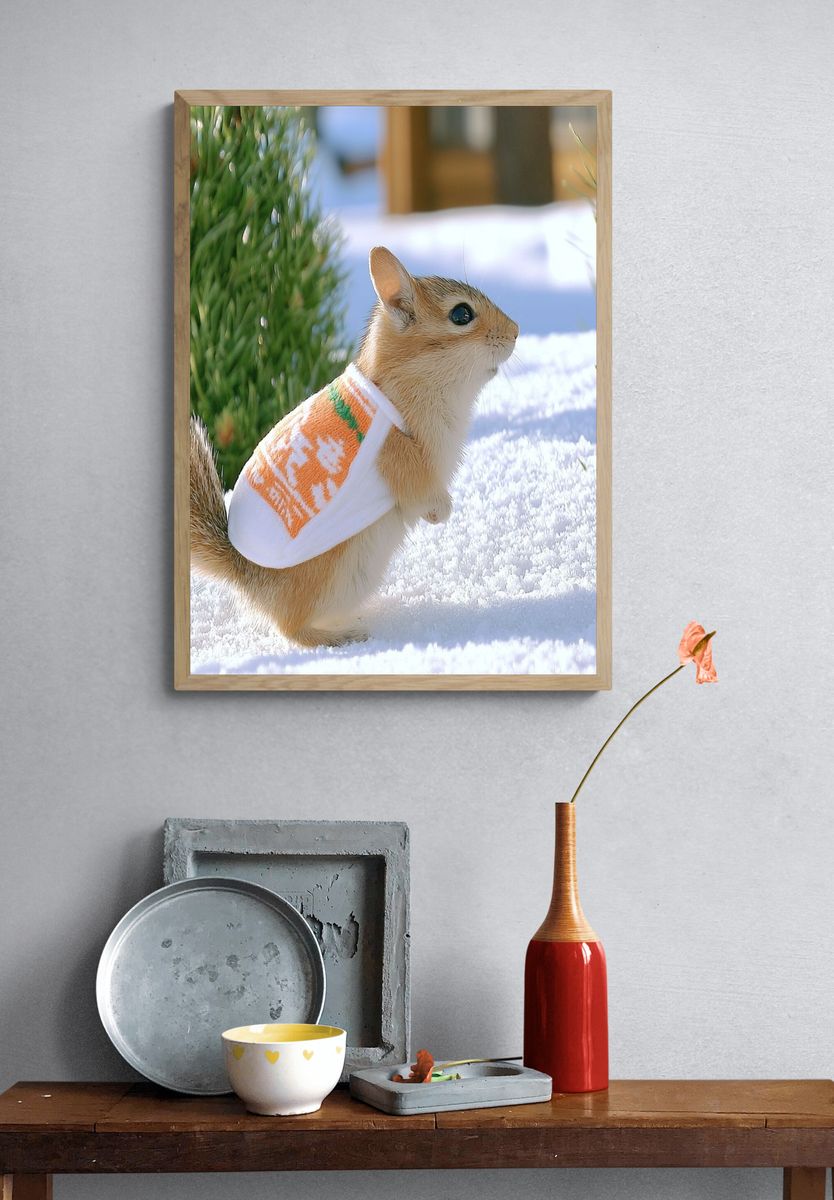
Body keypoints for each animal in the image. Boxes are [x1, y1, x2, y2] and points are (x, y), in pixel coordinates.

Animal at [190, 245, 518, 648]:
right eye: (462, 314)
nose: (516, 330)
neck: (405, 379)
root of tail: (244, 574)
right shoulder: (400, 456)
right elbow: (423, 491)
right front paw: (441, 513)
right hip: (323, 578)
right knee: (290, 629)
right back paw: (344, 636)